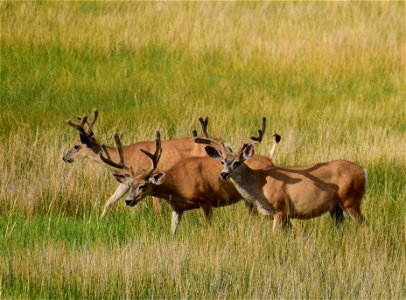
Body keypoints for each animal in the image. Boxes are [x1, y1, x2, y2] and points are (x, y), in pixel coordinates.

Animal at [197, 134, 368, 232]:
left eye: (237, 162)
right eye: (222, 162)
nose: (224, 174)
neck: (260, 185)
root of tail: (364, 171)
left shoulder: (280, 208)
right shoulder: (284, 215)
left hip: (350, 200)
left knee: (365, 225)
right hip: (336, 207)